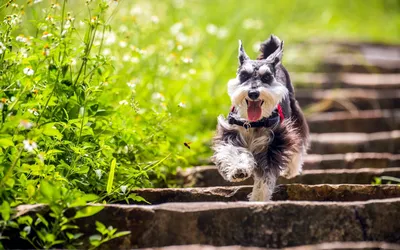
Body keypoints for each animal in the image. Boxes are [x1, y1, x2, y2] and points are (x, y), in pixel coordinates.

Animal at [212, 34, 310, 201]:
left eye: (267, 77)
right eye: (244, 75)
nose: (253, 93)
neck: (252, 123)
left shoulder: (274, 143)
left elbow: (266, 176)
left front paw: (259, 198)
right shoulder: (230, 134)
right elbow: (234, 152)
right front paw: (239, 169)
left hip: (295, 115)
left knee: (299, 140)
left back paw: (291, 169)